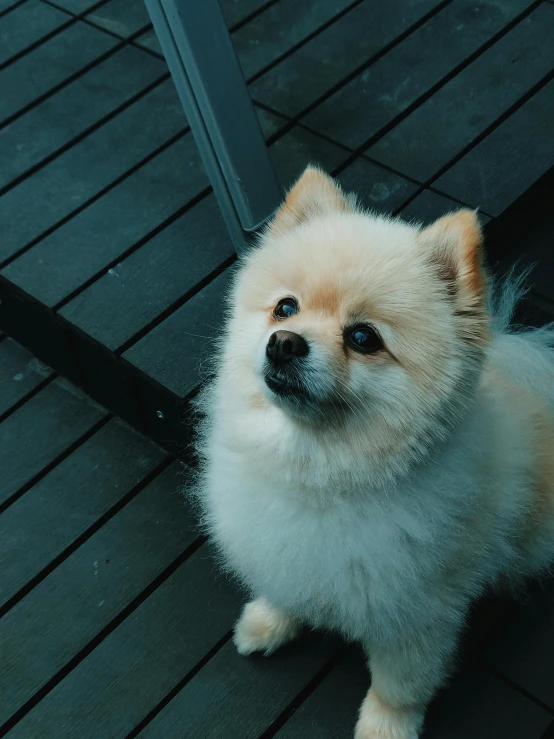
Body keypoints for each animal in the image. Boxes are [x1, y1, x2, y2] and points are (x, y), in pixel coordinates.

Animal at [193, 168, 552, 739]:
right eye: (285, 307)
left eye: (363, 337)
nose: (284, 342)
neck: (319, 472)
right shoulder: (279, 547)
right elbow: (284, 587)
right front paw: (268, 623)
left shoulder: (419, 611)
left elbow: (401, 683)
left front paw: (386, 725)